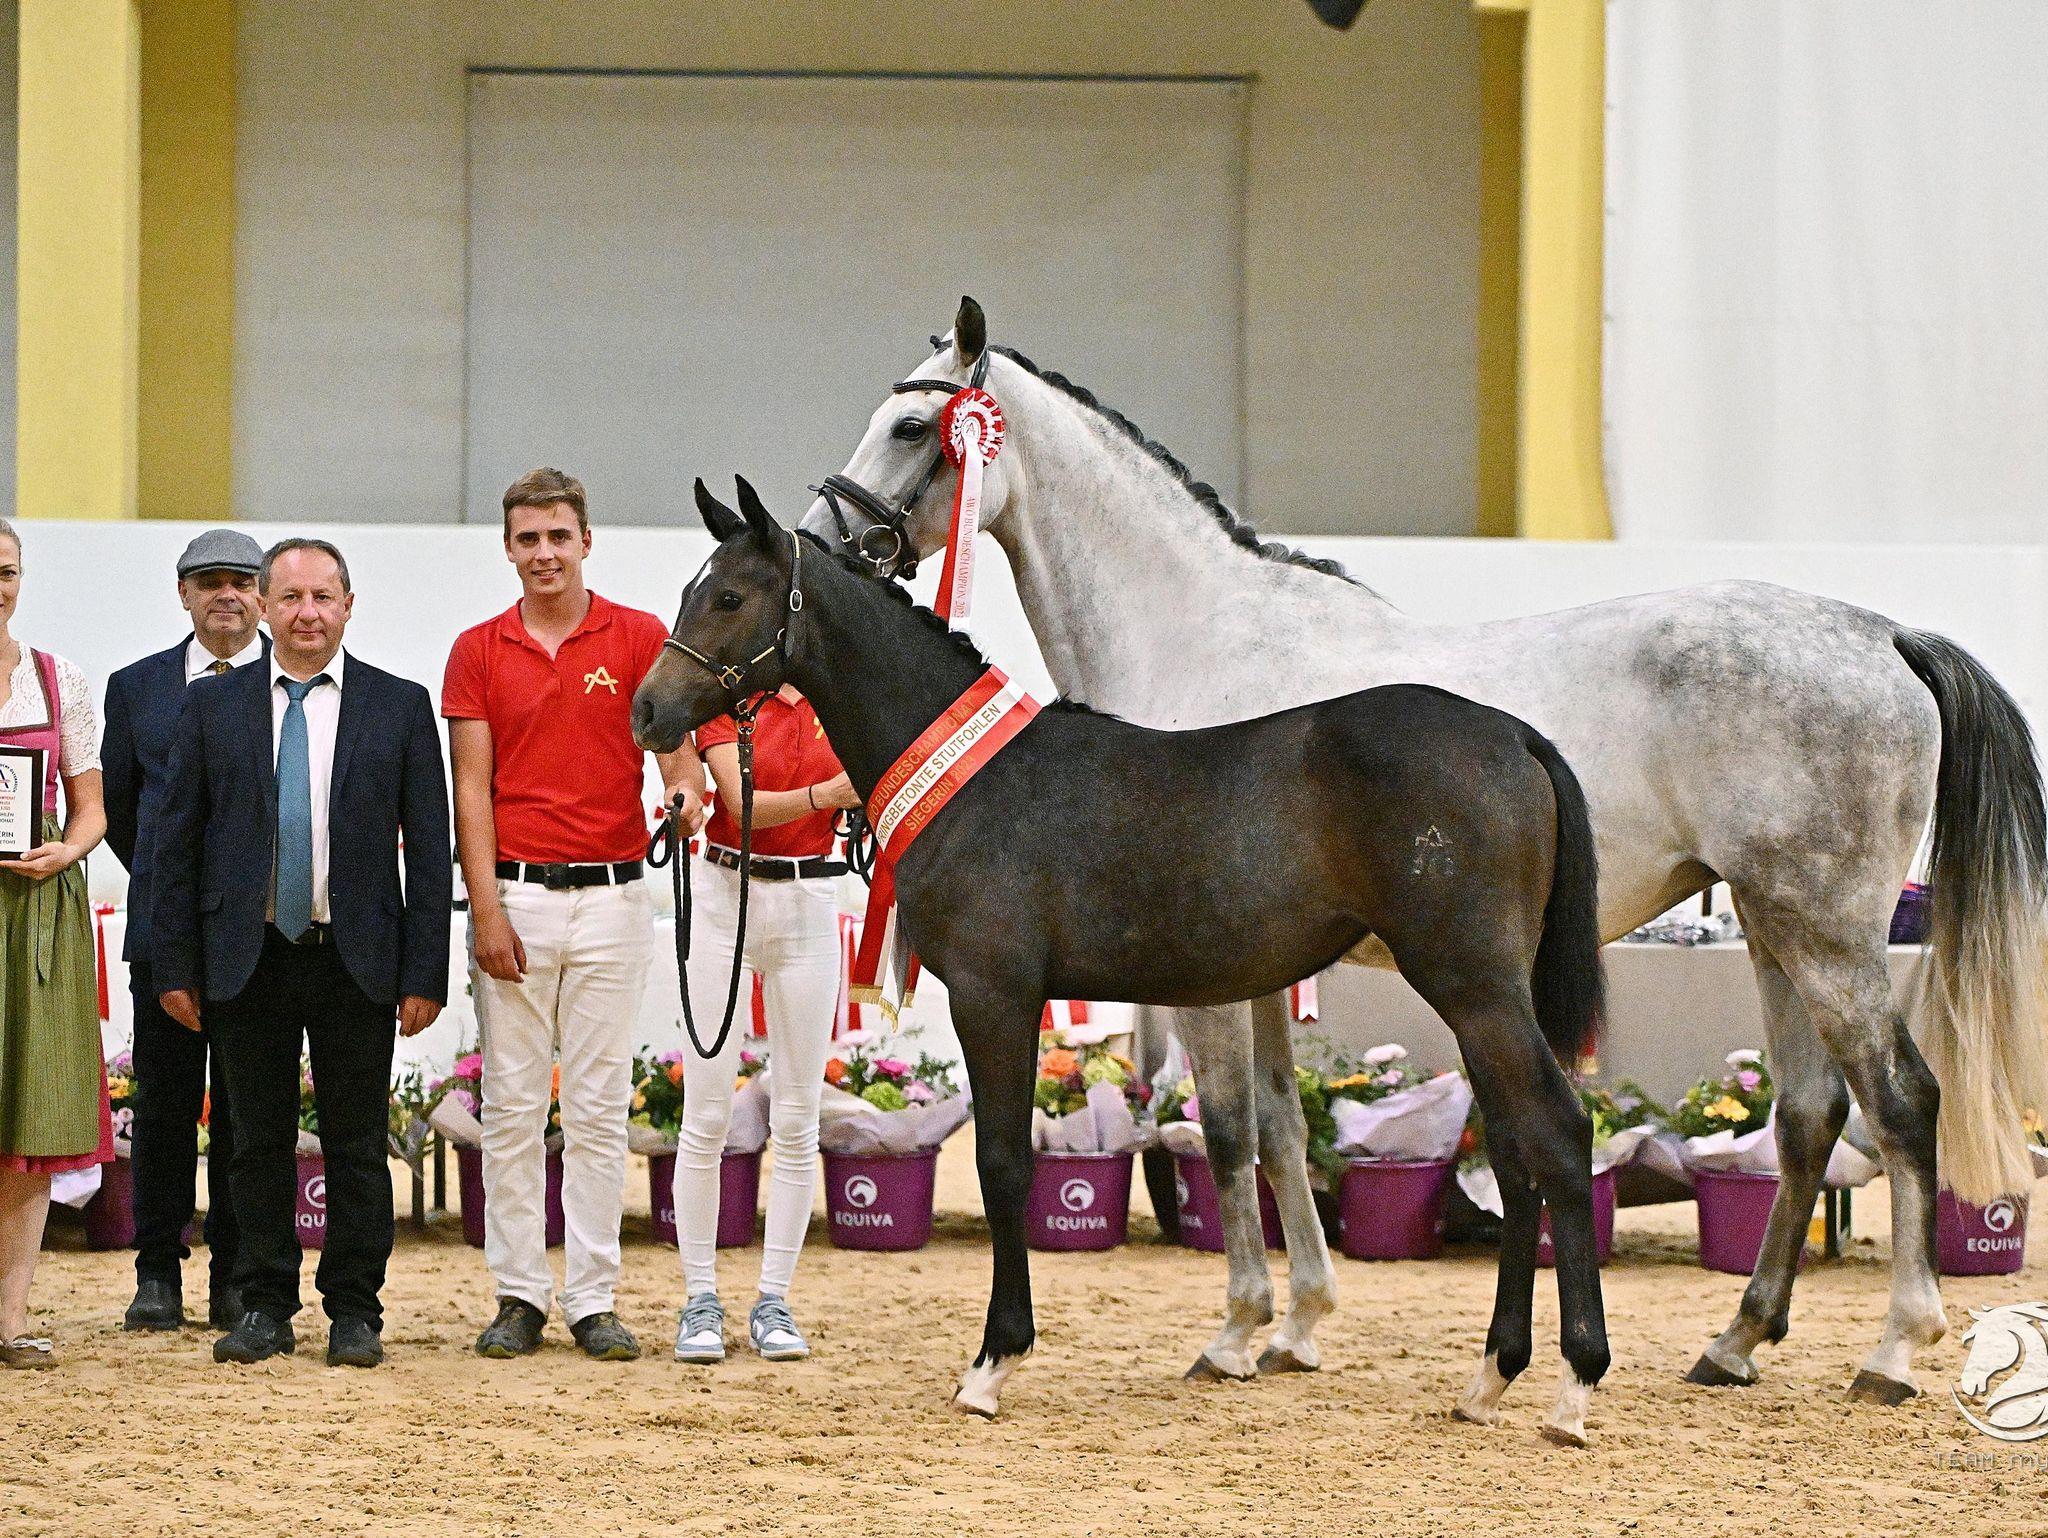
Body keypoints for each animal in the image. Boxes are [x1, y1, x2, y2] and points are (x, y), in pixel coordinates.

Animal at [634, 476, 1611, 1439]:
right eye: (688, 588)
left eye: (730, 596)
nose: (647, 711)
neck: (972, 775)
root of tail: (1513, 735)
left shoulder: (993, 995)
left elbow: (1003, 1164)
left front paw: (993, 1363)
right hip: (1483, 996)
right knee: (1515, 1153)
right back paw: (1491, 1377)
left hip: (1474, 986)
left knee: (1559, 1136)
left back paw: (1573, 1387)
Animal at [801, 296, 2048, 1412]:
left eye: (910, 426)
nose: (822, 541)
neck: (1202, 632)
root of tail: (1882, 635)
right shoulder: (1258, 967)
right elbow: (1281, 1127)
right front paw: (1297, 1323)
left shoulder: (1209, 981)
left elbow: (1228, 1129)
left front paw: (1236, 1330)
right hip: (1769, 924)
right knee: (1804, 1116)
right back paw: (1734, 1339)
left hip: (1825, 929)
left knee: (1900, 1102)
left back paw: (1891, 1348)